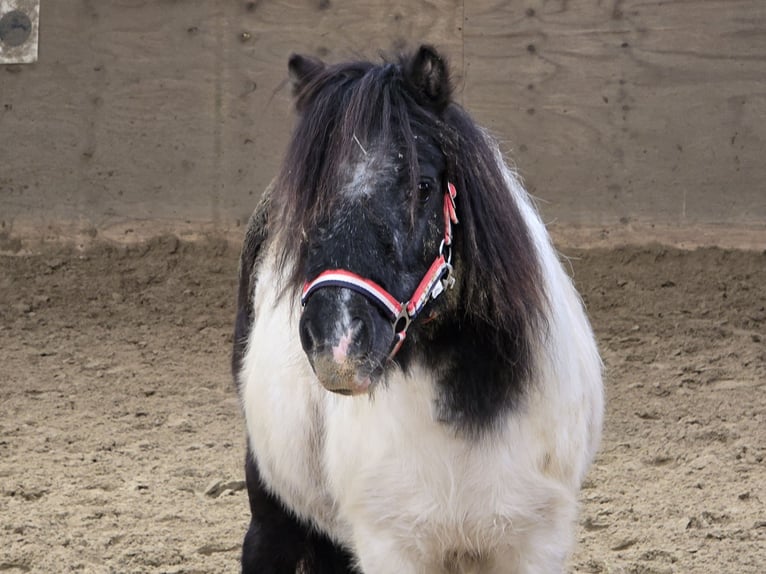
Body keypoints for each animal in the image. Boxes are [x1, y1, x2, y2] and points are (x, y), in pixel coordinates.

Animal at [231, 45, 604, 574]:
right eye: (306, 200)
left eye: (424, 186)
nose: (336, 342)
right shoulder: (391, 545)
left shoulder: (534, 543)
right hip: (270, 501)